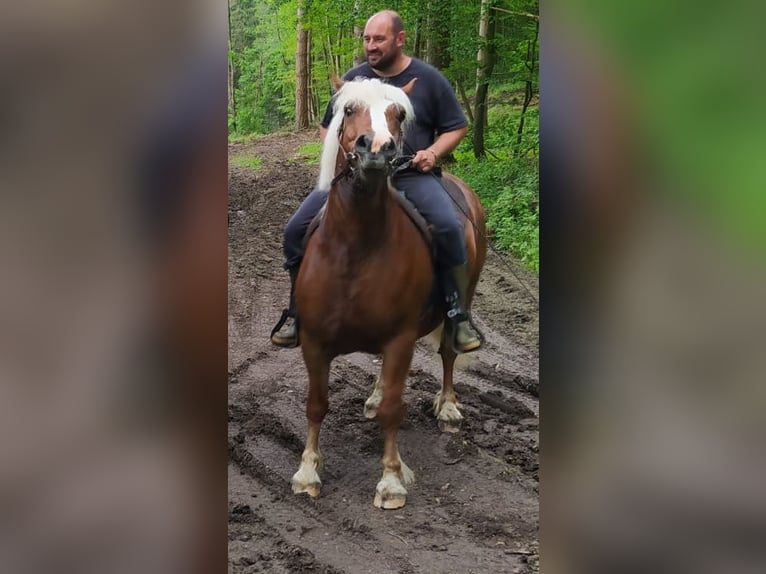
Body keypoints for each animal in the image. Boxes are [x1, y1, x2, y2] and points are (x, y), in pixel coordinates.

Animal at [292, 75, 488, 508]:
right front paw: (308, 472)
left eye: (399, 114)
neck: (355, 245)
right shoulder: (313, 340)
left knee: (448, 351)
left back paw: (447, 405)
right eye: (349, 110)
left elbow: (394, 411)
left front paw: (392, 479)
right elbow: (316, 405)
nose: (378, 148)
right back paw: (375, 395)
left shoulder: (399, 338)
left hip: (463, 298)